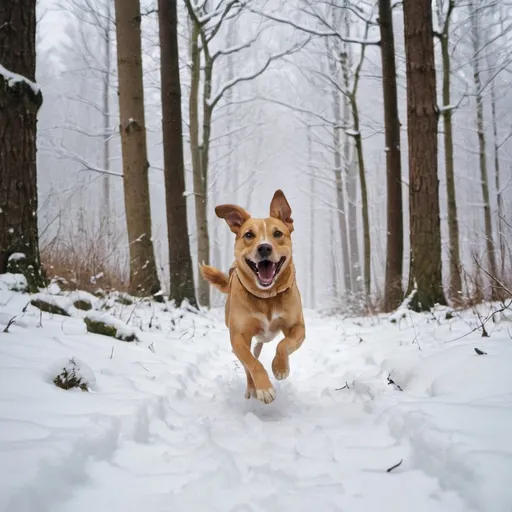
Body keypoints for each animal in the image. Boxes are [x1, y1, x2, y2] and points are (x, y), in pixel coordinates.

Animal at [199, 189, 304, 404]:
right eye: (248, 235)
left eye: (278, 233)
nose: (264, 248)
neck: (267, 296)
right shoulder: (238, 336)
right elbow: (252, 363)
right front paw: (264, 388)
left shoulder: (297, 326)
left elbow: (284, 344)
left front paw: (280, 367)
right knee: (249, 361)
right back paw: (252, 388)